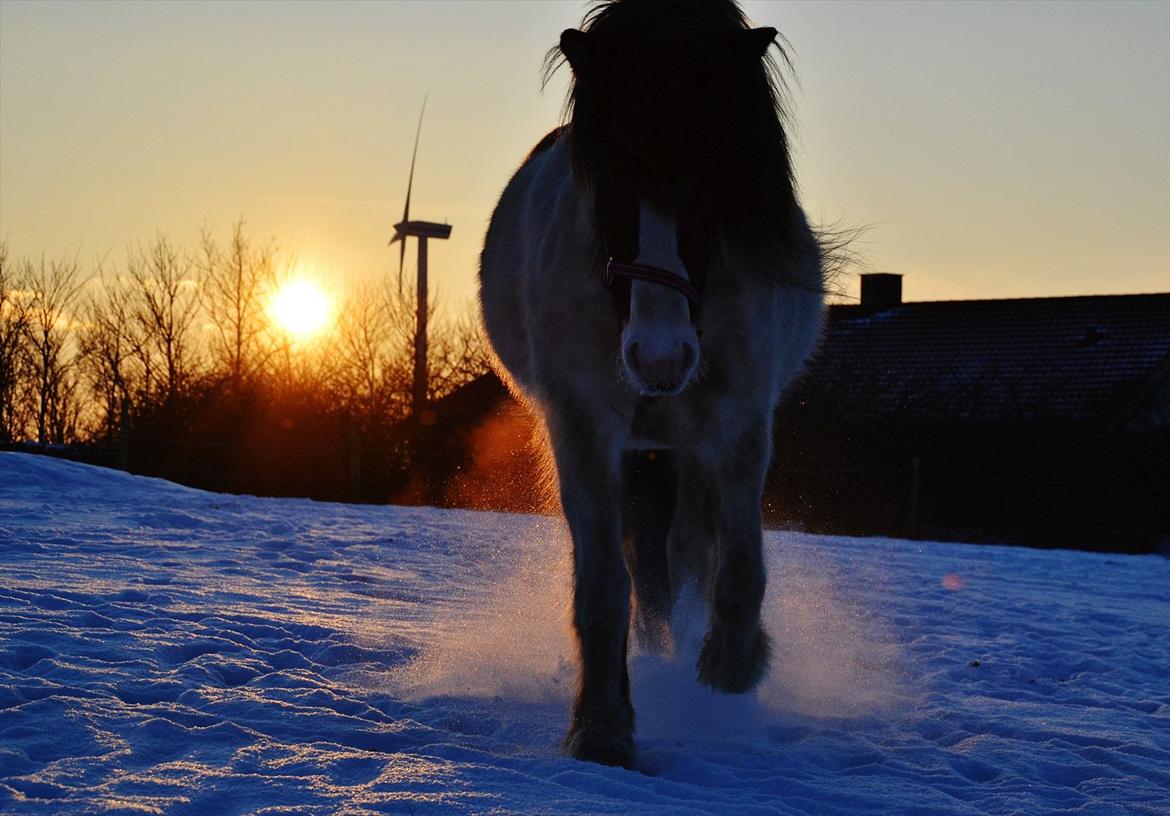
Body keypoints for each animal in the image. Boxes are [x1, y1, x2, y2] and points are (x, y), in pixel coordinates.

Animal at [475, 0, 823, 768]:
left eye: (716, 184)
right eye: (607, 186)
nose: (659, 359)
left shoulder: (738, 424)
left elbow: (739, 565)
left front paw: (731, 664)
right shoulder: (584, 428)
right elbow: (606, 586)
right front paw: (601, 729)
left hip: (685, 449)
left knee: (687, 554)